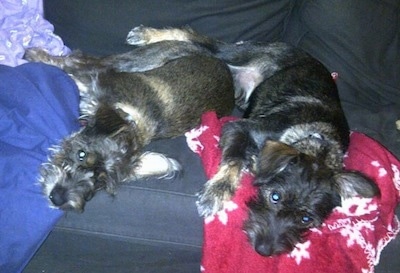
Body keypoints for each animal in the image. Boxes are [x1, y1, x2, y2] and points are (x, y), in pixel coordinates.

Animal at [24, 44, 234, 210]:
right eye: (81, 154)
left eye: (100, 182)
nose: (57, 199)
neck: (131, 117)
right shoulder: (95, 79)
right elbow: (68, 67)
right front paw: (36, 56)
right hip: (132, 60)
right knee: (82, 58)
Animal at [125, 26, 382, 255]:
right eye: (274, 197)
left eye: (306, 218)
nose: (264, 250)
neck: (316, 140)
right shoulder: (239, 127)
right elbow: (234, 160)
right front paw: (216, 193)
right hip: (238, 53)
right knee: (198, 39)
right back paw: (145, 34)